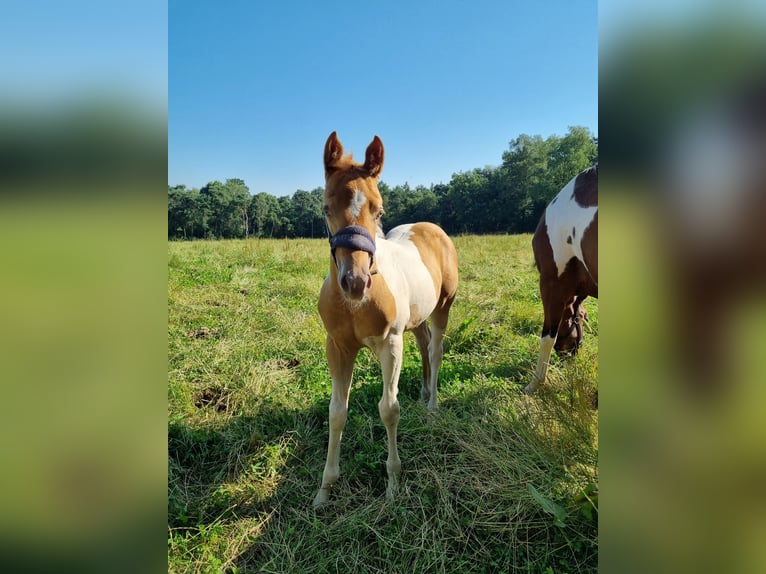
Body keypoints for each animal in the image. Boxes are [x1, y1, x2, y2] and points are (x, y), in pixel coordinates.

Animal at [314, 132, 460, 508]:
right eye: (325, 209)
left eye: (378, 210)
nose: (355, 282)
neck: (356, 305)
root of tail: (431, 227)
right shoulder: (338, 347)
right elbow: (336, 412)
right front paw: (325, 488)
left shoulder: (390, 344)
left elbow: (389, 409)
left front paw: (393, 483)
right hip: (418, 316)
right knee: (423, 345)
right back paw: (423, 392)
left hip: (443, 307)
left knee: (436, 351)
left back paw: (432, 406)